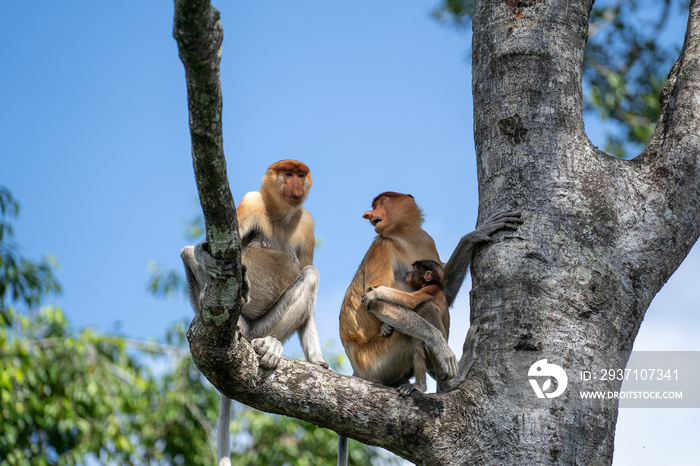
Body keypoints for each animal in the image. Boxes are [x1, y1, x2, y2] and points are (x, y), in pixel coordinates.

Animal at [360, 260, 448, 396]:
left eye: (416, 268)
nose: (409, 273)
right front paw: (386, 327)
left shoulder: (429, 289)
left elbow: (410, 300)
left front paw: (376, 292)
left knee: (425, 308)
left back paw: (419, 386)